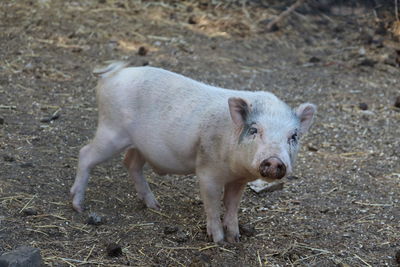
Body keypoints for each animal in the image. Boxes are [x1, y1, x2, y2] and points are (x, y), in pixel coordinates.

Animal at [70, 61, 318, 244]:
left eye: (293, 136)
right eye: (255, 130)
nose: (274, 161)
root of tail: (112, 75)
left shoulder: (238, 180)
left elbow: (232, 206)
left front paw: (235, 238)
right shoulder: (207, 172)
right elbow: (212, 204)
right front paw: (218, 240)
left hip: (139, 145)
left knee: (130, 163)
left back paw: (155, 205)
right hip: (111, 130)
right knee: (85, 153)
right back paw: (78, 206)